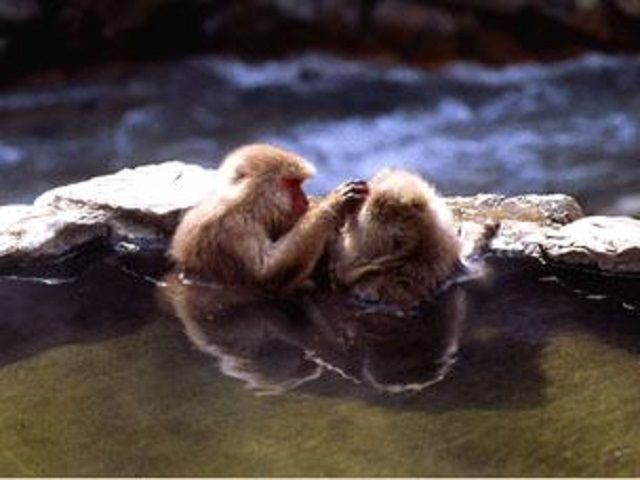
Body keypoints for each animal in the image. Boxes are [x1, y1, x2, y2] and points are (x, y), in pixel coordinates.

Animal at [170, 144, 368, 293]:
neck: (248, 205)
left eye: (299, 184)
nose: (304, 201)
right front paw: (334, 202)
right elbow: (266, 274)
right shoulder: (235, 227)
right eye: (292, 183)